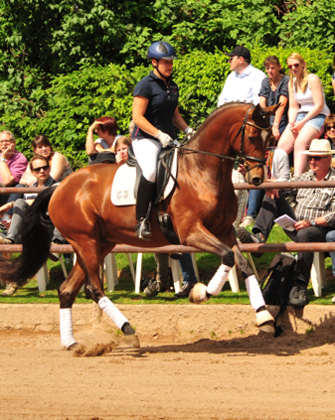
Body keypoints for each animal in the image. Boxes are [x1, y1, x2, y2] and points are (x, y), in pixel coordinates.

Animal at [0, 103, 280, 350]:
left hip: (98, 244)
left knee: (68, 290)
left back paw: (73, 344)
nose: (257, 178)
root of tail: (59, 187)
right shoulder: (191, 233)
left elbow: (241, 263)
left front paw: (264, 317)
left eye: (271, 137)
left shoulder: (225, 232)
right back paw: (127, 331)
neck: (202, 170)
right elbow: (227, 257)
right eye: (252, 136)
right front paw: (200, 293)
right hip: (86, 242)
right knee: (92, 288)